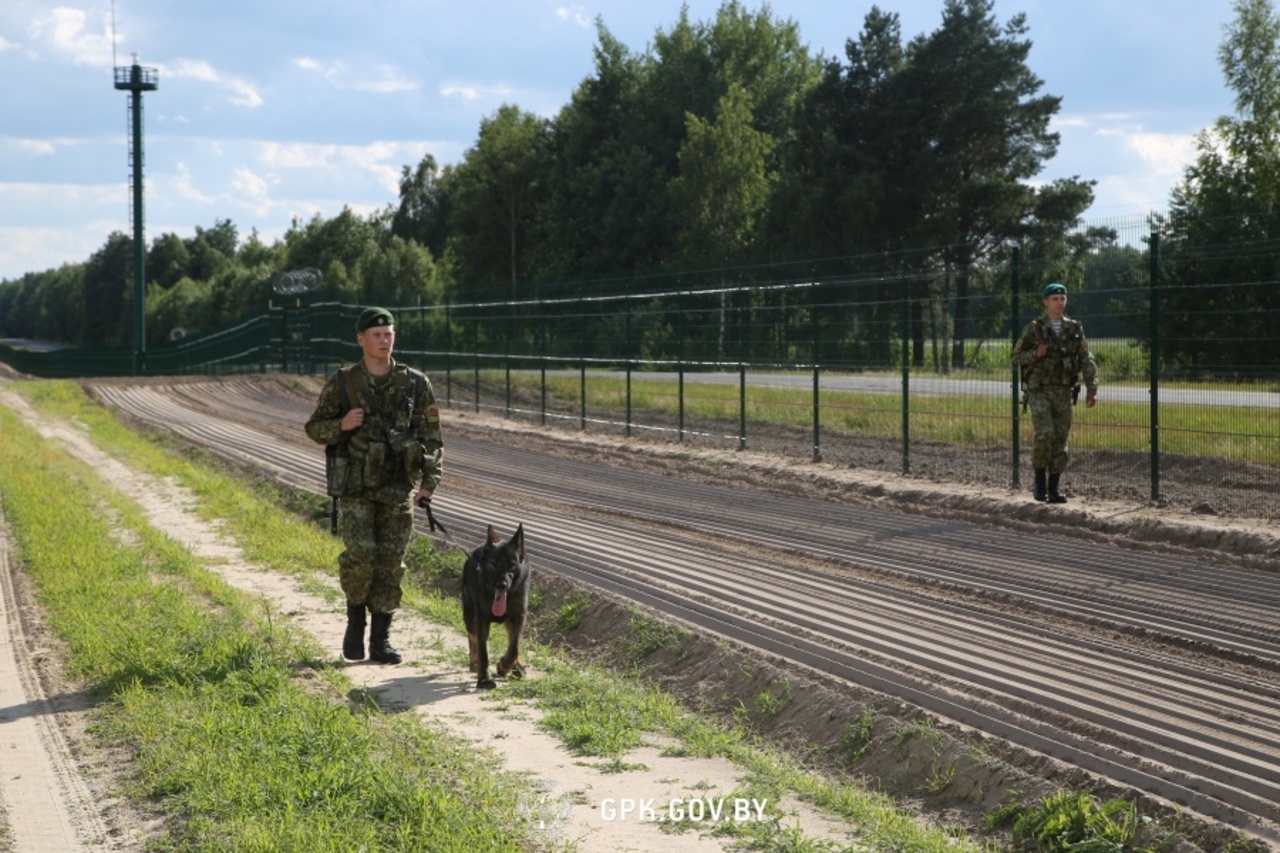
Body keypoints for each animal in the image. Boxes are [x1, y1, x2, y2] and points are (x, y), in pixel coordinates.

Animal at [463, 522, 527, 686]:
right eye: (494, 563)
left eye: (512, 564)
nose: (501, 585)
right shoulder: (482, 618)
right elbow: (482, 650)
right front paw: (484, 679)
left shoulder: (519, 616)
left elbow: (514, 646)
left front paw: (504, 666)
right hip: (469, 616)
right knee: (472, 637)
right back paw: (473, 662)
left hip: (509, 621)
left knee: (512, 640)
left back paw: (518, 666)